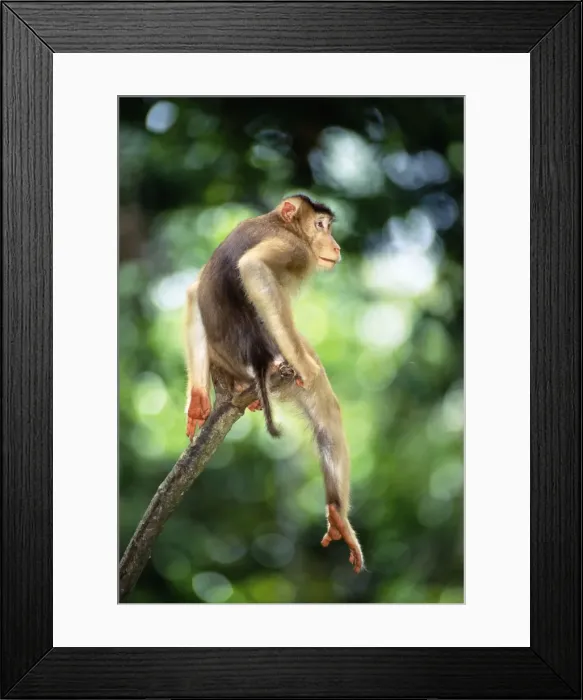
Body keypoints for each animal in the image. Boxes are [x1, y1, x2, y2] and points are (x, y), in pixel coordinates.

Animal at [184, 194, 364, 573]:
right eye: (321, 226)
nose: (336, 246)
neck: (280, 224)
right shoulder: (295, 249)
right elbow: (254, 267)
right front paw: (307, 367)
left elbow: (193, 289)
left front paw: (197, 401)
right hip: (277, 357)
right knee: (325, 402)